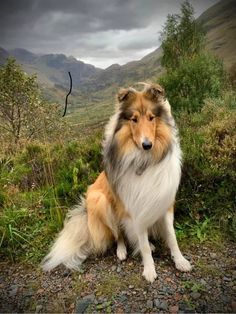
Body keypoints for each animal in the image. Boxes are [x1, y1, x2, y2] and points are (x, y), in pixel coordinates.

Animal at [42, 83, 192, 282]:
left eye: (151, 118)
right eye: (134, 119)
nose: (147, 145)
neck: (144, 161)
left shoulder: (164, 202)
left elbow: (172, 236)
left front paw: (180, 261)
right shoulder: (135, 208)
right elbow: (143, 244)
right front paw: (149, 269)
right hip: (101, 201)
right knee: (118, 235)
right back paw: (122, 251)